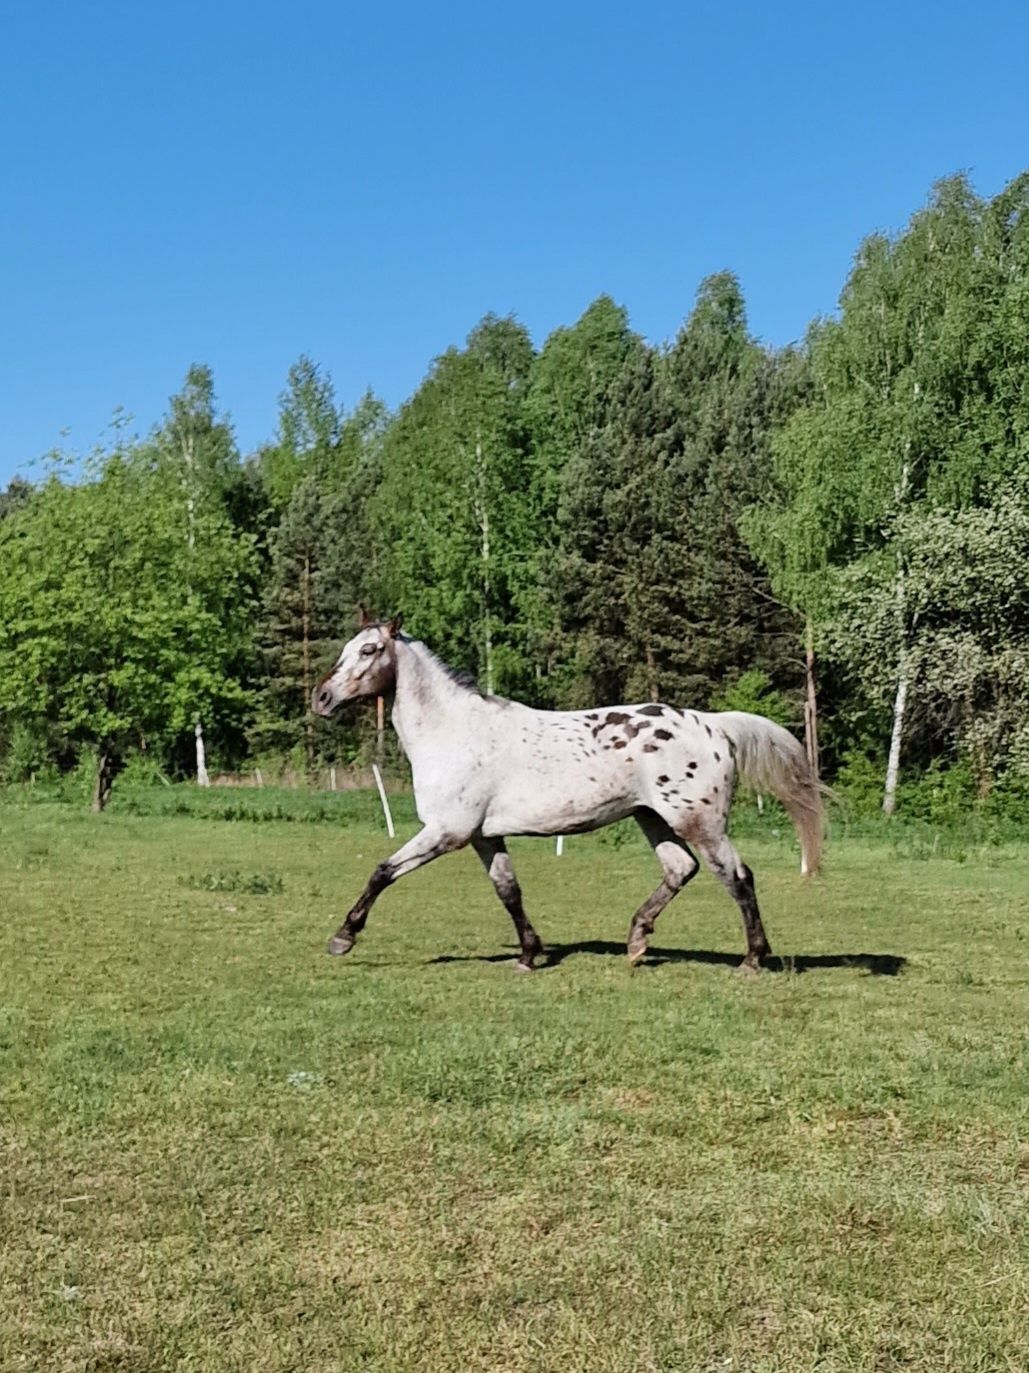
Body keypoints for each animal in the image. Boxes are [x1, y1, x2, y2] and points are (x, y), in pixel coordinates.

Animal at [309, 612, 824, 977]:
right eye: (347, 649)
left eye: (370, 649)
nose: (321, 698)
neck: (454, 732)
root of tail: (713, 723)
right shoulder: (483, 835)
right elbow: (508, 890)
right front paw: (528, 955)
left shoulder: (447, 831)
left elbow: (382, 872)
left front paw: (342, 938)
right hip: (651, 818)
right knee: (681, 869)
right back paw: (637, 942)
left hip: (700, 822)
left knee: (737, 877)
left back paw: (753, 960)